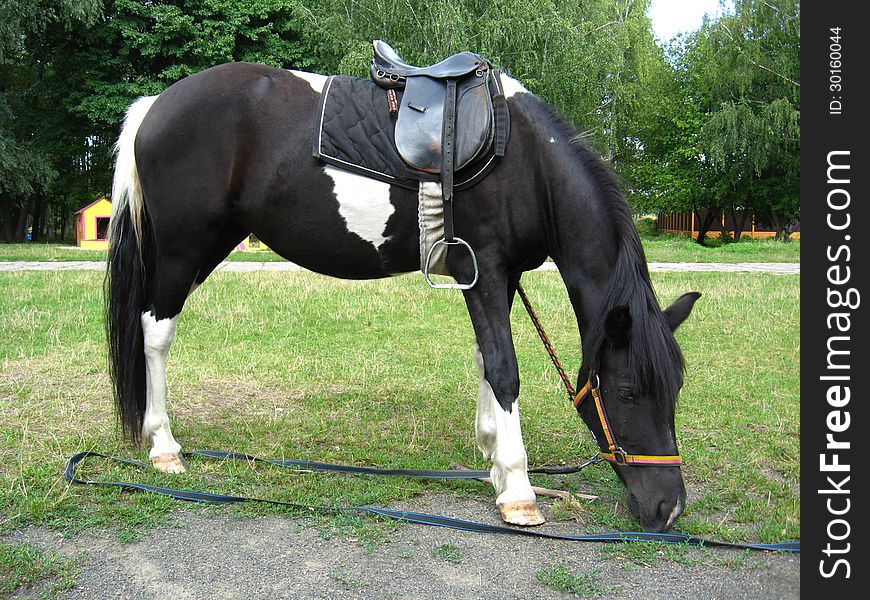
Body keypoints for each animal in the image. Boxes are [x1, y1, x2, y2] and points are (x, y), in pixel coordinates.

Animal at [107, 62, 700, 536]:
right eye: (627, 391)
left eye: (675, 389)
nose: (669, 510)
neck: (527, 160)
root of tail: (155, 105)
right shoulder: (484, 269)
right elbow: (504, 368)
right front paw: (517, 489)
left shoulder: (499, 276)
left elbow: (485, 358)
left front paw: (491, 454)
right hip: (184, 249)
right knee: (156, 332)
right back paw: (164, 446)